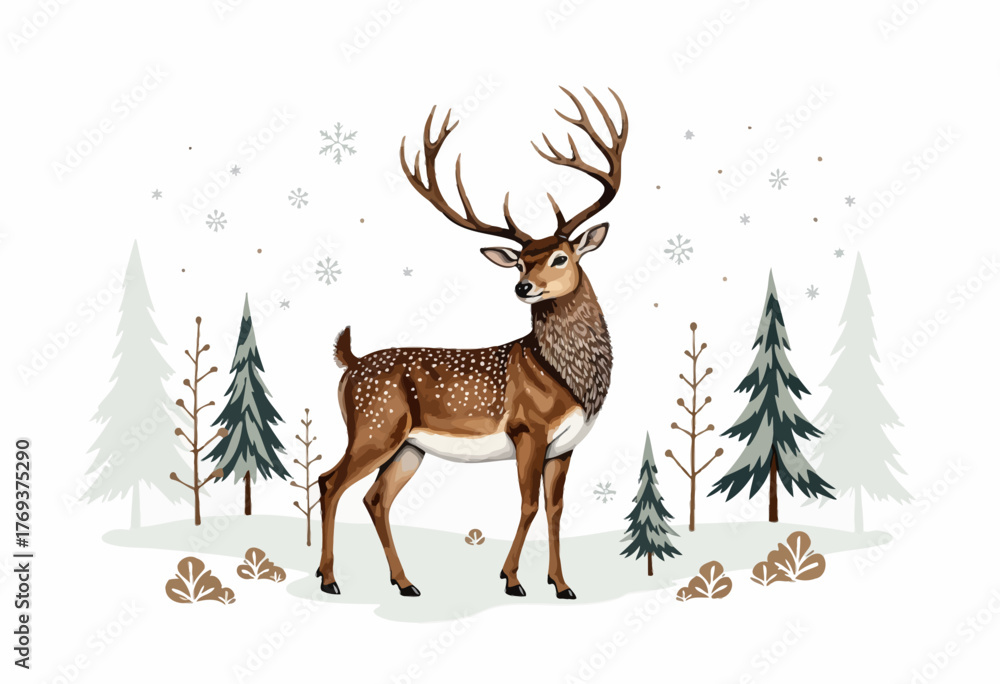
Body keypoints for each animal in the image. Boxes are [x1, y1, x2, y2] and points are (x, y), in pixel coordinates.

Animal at [316, 87, 628, 600]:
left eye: (561, 257)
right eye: (520, 261)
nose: (523, 287)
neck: (566, 379)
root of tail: (350, 364)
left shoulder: (564, 446)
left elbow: (556, 510)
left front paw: (562, 585)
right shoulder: (527, 428)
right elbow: (527, 505)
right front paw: (512, 580)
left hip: (408, 445)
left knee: (375, 497)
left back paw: (404, 582)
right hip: (374, 425)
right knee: (329, 483)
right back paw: (329, 579)